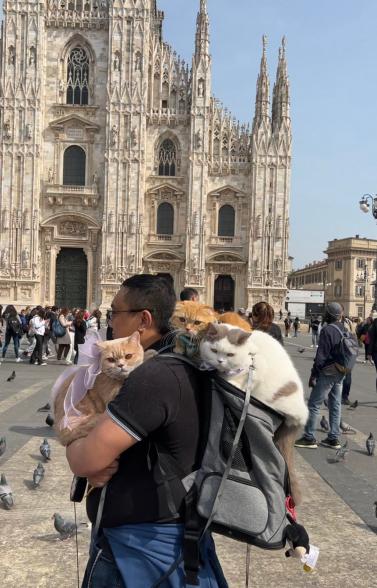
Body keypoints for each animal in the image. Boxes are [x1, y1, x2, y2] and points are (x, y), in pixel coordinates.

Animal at [198, 324, 306, 504]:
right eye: (214, 350)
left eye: (230, 354)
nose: (220, 361)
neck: (250, 353)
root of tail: (301, 417)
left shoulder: (256, 372)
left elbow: (238, 380)